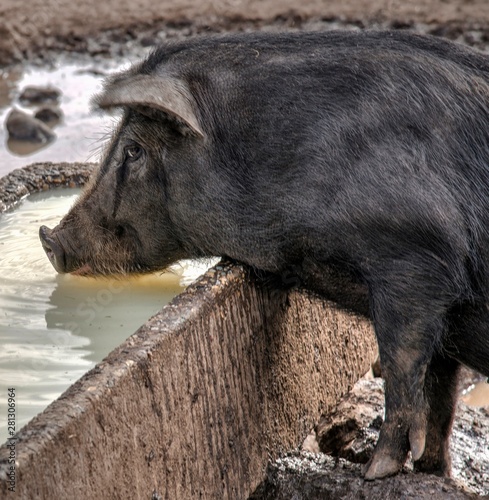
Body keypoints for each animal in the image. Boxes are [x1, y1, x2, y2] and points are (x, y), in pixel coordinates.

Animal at [39, 29, 488, 478]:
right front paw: (433, 471)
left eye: (133, 151)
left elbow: (402, 367)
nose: (49, 240)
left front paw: (375, 471)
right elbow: (441, 394)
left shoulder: (414, 259)